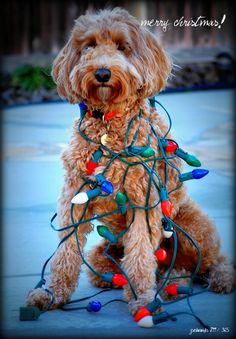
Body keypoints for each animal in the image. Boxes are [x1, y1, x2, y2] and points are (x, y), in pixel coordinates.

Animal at [26, 6, 234, 318]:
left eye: (123, 47)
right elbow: (66, 251)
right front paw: (52, 294)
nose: (102, 72)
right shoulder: (73, 197)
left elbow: (140, 253)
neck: (109, 122)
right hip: (104, 250)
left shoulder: (143, 200)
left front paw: (144, 299)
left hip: (191, 229)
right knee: (122, 264)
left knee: (208, 263)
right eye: (89, 46)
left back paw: (195, 281)